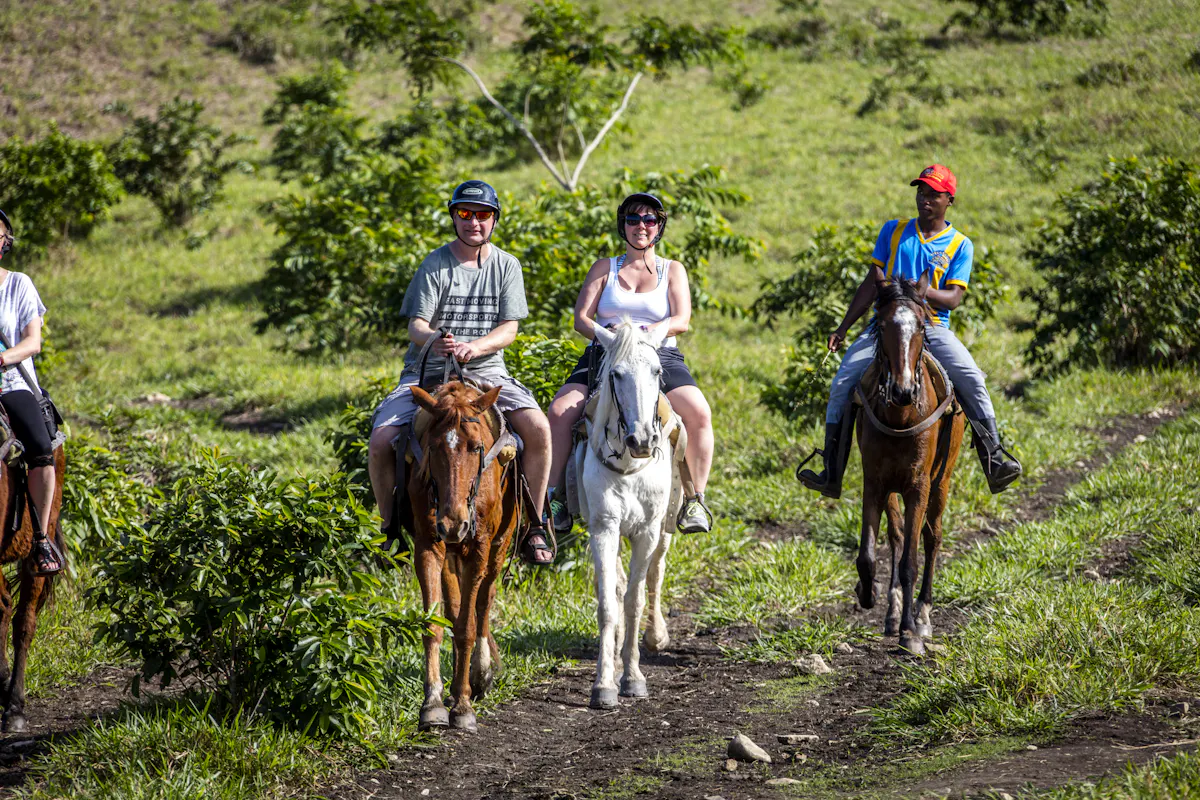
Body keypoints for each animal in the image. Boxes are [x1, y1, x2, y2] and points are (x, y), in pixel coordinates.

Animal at [407, 381, 522, 732]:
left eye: (475, 447)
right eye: (433, 447)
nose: (453, 523)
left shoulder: (480, 548)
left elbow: (467, 627)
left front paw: (462, 705)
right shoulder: (429, 546)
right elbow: (435, 625)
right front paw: (433, 703)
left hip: (500, 544)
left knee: (483, 601)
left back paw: (479, 674)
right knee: (456, 606)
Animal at [574, 322, 686, 709]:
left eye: (657, 371)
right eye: (616, 374)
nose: (642, 441)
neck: (628, 464)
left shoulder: (647, 531)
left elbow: (635, 601)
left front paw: (634, 677)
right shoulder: (604, 529)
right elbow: (610, 603)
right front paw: (604, 684)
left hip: (664, 529)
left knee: (655, 574)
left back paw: (655, 636)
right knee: (620, 583)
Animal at [853, 273, 965, 656]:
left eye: (919, 326)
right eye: (883, 325)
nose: (902, 391)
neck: (900, 417)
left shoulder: (919, 485)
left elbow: (910, 563)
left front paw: (910, 634)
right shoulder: (874, 482)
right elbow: (869, 554)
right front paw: (868, 593)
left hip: (942, 481)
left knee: (932, 537)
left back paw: (923, 615)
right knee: (899, 535)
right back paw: (892, 611)